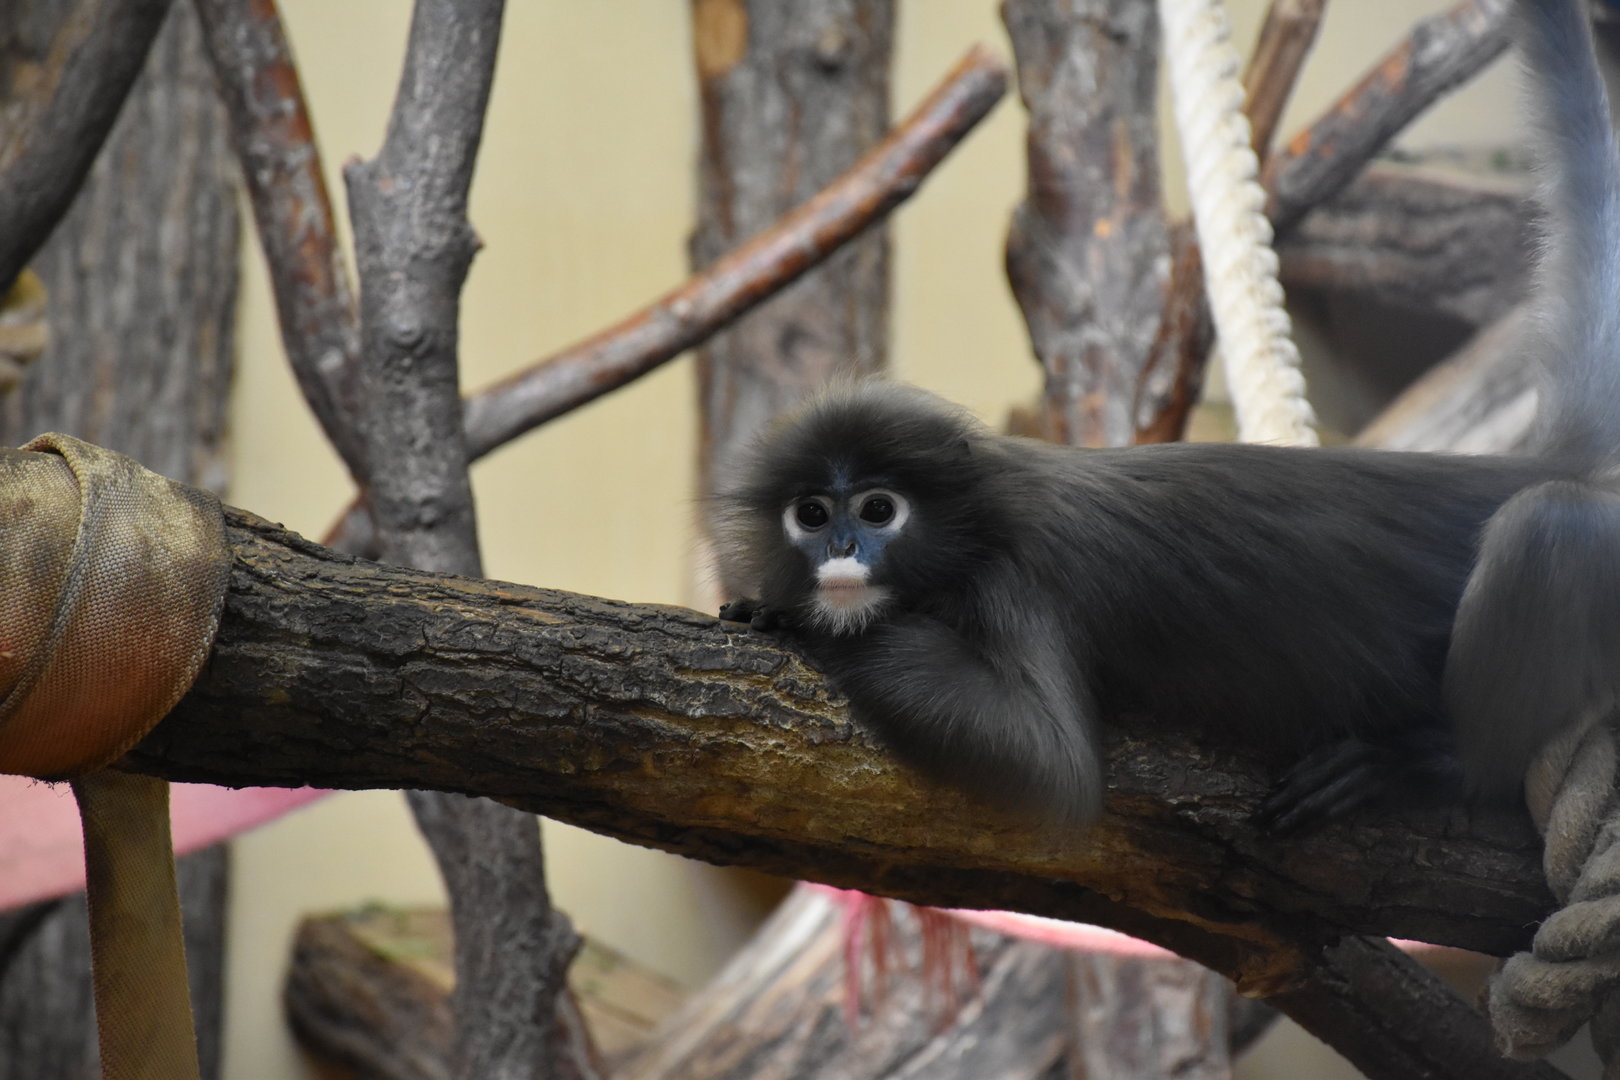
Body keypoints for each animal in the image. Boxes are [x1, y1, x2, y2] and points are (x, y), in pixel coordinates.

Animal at [715, 0, 1620, 830]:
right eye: (812, 513)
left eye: (878, 509)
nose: (840, 549)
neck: (982, 509)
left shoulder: (1022, 577)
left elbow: (1043, 762)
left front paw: (793, 615)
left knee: (1547, 526)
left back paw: (1438, 765)